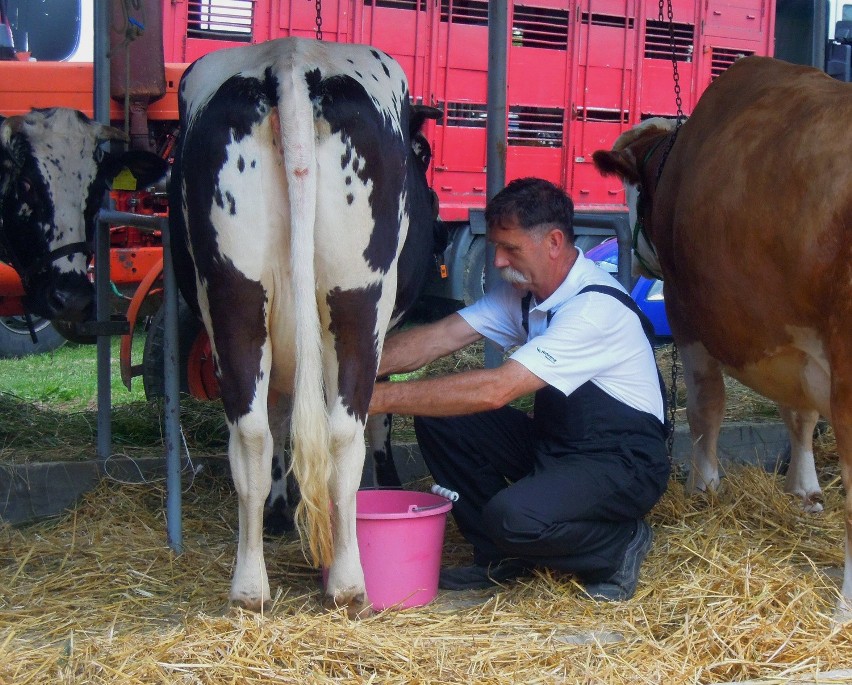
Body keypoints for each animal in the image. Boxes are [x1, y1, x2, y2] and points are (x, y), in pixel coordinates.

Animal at [171, 37, 442, 616]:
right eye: (425, 154)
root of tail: (291, 60)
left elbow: (279, 419)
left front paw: (277, 512)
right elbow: (378, 419)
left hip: (233, 293)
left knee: (253, 433)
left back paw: (251, 587)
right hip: (359, 299)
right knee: (344, 433)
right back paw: (347, 583)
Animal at [592, 56, 852, 616]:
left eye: (632, 193)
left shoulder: (688, 314)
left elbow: (705, 406)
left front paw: (703, 484)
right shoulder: (791, 337)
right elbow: (799, 414)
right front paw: (804, 489)